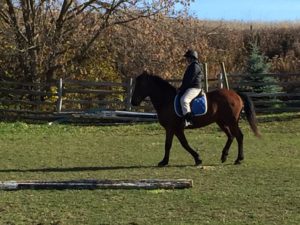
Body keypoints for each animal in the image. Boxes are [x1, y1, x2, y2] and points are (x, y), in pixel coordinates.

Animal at [131, 71, 260, 166]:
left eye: (140, 85)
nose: (133, 102)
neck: (166, 101)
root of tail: (236, 94)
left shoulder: (173, 128)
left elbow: (180, 144)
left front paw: (197, 159)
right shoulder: (173, 129)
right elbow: (172, 144)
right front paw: (165, 161)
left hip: (231, 121)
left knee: (239, 136)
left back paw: (238, 159)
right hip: (221, 122)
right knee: (231, 136)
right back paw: (224, 156)